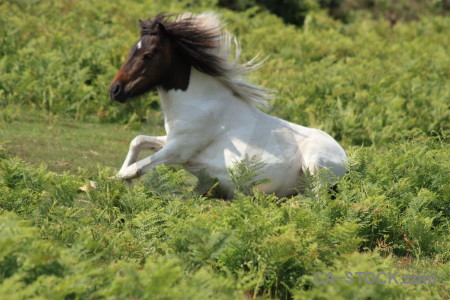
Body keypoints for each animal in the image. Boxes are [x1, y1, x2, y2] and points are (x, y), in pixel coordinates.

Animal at [110, 12, 348, 199]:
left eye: (148, 55)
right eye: (131, 50)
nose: (115, 90)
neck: (199, 102)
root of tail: (347, 161)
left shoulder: (179, 150)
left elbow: (132, 170)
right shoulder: (171, 140)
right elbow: (137, 142)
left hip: (315, 168)